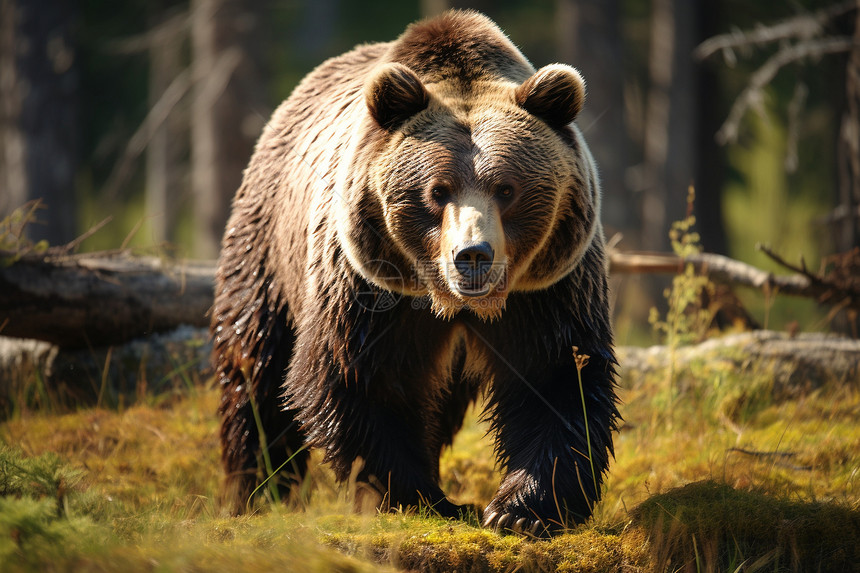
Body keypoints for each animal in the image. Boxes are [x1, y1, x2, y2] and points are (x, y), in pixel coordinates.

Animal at [213, 10, 620, 536]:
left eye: (507, 189)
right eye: (437, 190)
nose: (473, 255)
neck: (446, 298)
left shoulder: (549, 286)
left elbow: (557, 375)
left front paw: (520, 510)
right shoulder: (367, 285)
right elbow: (359, 376)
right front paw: (426, 498)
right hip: (268, 246)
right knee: (254, 363)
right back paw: (256, 488)